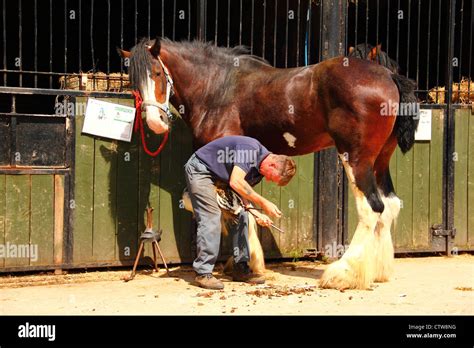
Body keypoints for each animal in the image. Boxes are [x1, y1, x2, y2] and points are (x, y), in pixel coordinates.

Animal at [118, 36, 418, 290]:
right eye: (133, 83)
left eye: (157, 74)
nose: (155, 123)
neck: (218, 88)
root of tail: (388, 75)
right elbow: (243, 207)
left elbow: (221, 205)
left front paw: (249, 262)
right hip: (380, 160)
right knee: (390, 205)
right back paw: (378, 271)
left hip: (356, 158)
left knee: (372, 208)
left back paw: (344, 273)